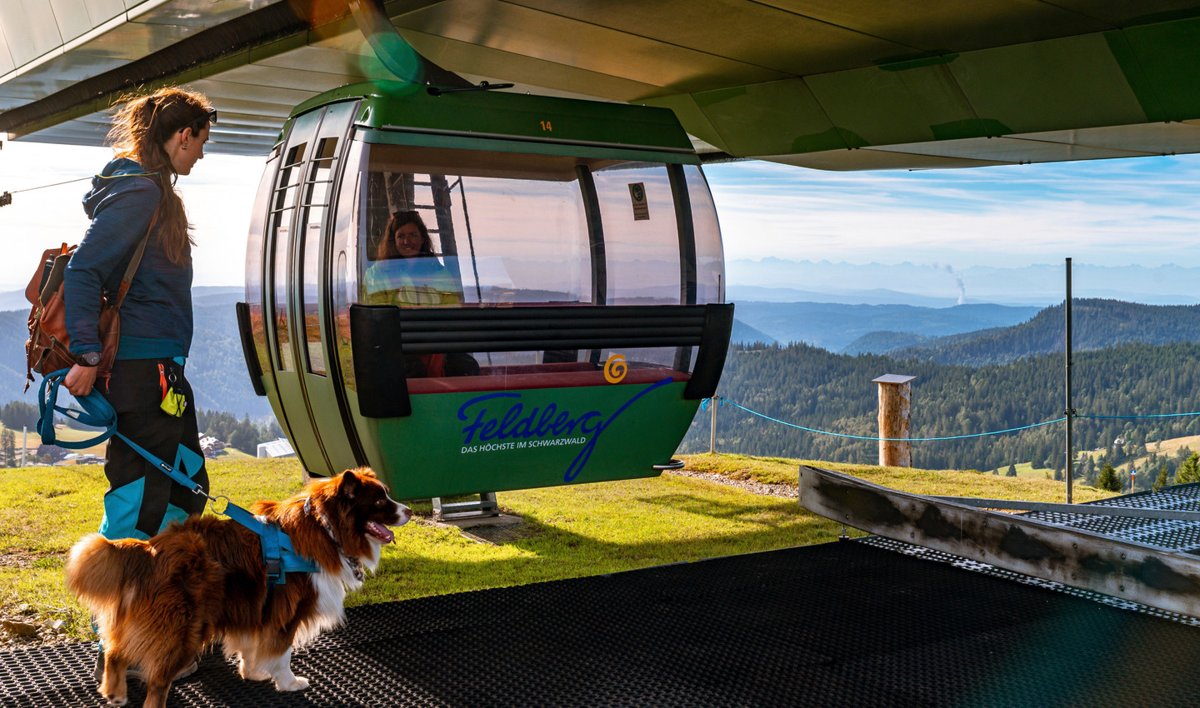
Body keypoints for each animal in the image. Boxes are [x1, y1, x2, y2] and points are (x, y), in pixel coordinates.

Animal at [65, 468, 412, 705]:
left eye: (386, 494)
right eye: (379, 500)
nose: (408, 509)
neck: (324, 527)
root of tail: (150, 548)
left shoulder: (255, 608)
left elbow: (250, 646)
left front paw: (253, 673)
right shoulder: (287, 612)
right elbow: (282, 652)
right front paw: (288, 683)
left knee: (115, 649)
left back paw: (114, 692)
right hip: (183, 629)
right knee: (156, 682)